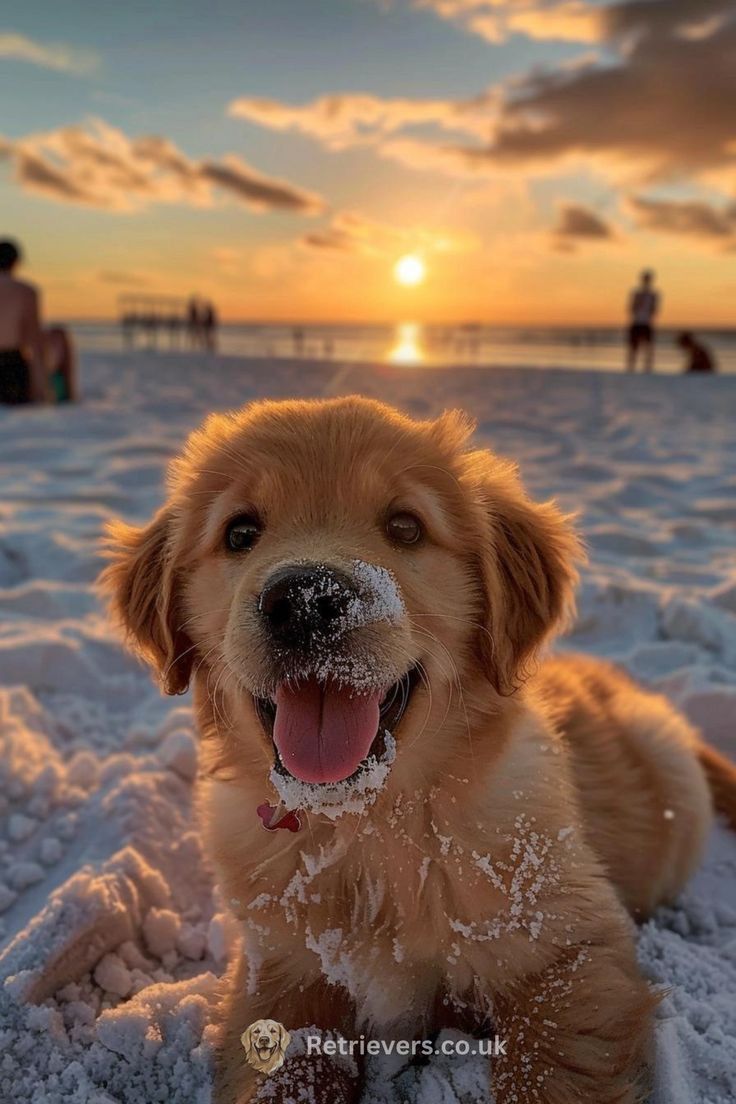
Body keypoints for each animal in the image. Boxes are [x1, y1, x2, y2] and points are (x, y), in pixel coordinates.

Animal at [100, 397, 732, 1104]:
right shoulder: (280, 970)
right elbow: (286, 1068)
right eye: (240, 533)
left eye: (405, 527)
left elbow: (550, 1069)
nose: (305, 599)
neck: (371, 826)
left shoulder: (566, 953)